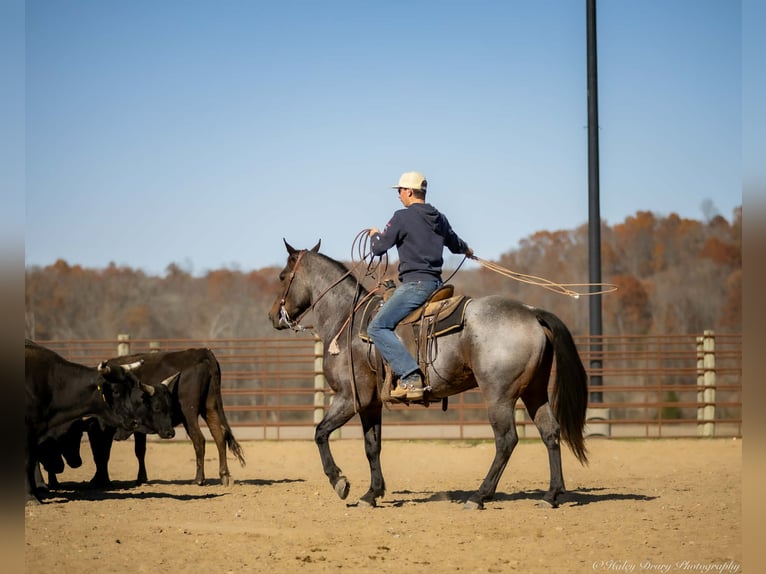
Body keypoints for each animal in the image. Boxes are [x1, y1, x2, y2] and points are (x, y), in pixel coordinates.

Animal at [268, 240, 589, 509]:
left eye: (283, 276)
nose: (272, 316)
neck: (347, 321)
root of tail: (531, 312)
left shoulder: (348, 398)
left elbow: (320, 432)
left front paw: (340, 482)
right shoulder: (370, 404)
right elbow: (372, 446)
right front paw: (372, 493)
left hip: (499, 396)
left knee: (506, 440)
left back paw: (479, 495)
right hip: (534, 391)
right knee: (550, 432)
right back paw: (551, 495)